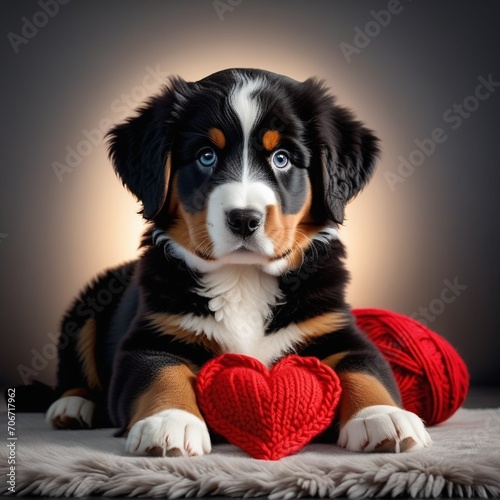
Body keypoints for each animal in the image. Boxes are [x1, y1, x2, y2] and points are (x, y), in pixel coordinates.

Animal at [45, 69, 432, 458]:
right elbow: (161, 372)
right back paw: (72, 406)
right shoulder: (150, 337)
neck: (244, 277)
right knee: (74, 373)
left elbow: (365, 368)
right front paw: (170, 423)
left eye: (281, 158)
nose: (244, 219)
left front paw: (382, 417)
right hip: (87, 308)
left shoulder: (337, 330)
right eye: (206, 156)